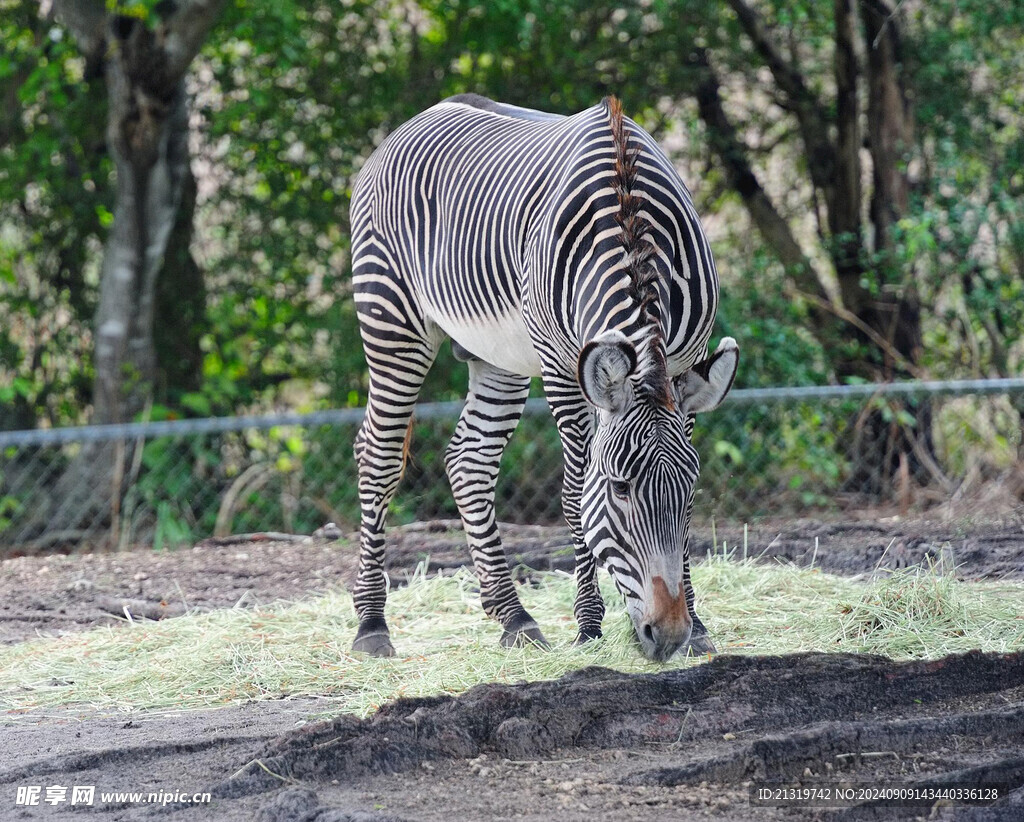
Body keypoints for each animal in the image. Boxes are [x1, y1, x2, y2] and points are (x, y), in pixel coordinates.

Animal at [350, 94, 737, 663]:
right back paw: (372, 625)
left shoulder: (685, 363)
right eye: (620, 488)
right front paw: (589, 627)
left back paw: (515, 618)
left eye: (689, 491)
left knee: (469, 461)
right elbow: (574, 494)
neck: (629, 220)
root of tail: (422, 115)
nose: (667, 636)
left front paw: (700, 626)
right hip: (391, 319)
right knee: (376, 456)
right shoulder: (560, 367)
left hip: (499, 355)